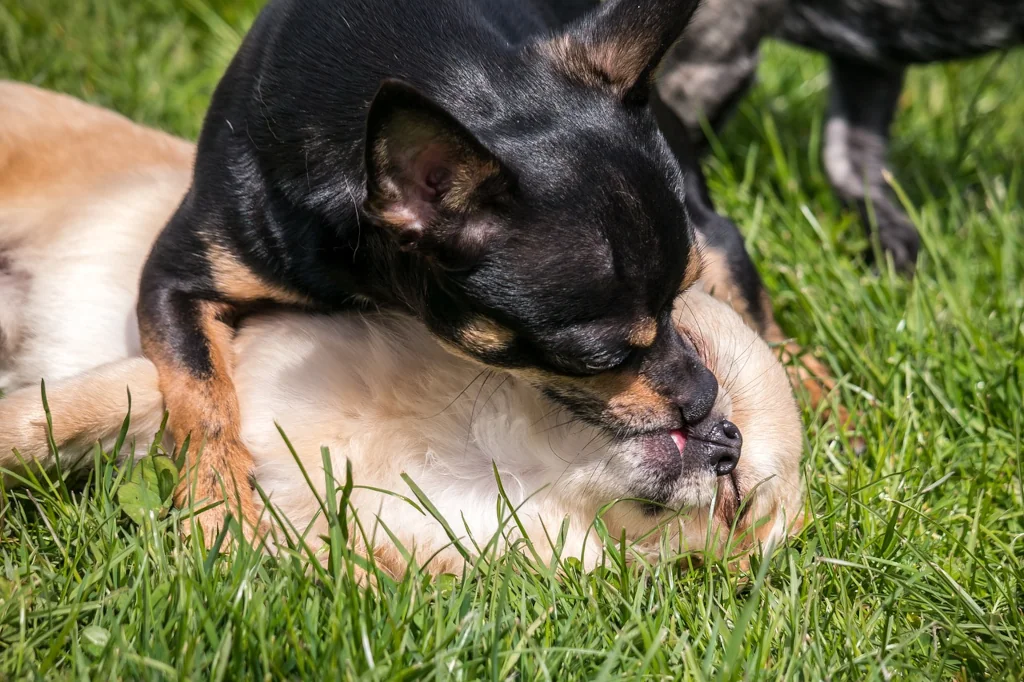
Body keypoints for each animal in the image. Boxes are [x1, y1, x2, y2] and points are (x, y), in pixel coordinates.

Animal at [0, 83, 798, 573]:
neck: (496, 453)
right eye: (696, 351)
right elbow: (45, 420)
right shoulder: (183, 377)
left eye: (732, 506)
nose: (724, 438)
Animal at [142, 0, 720, 532]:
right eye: (597, 359)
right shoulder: (174, 279)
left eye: (685, 297)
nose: (706, 396)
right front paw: (220, 508)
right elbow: (203, 399)